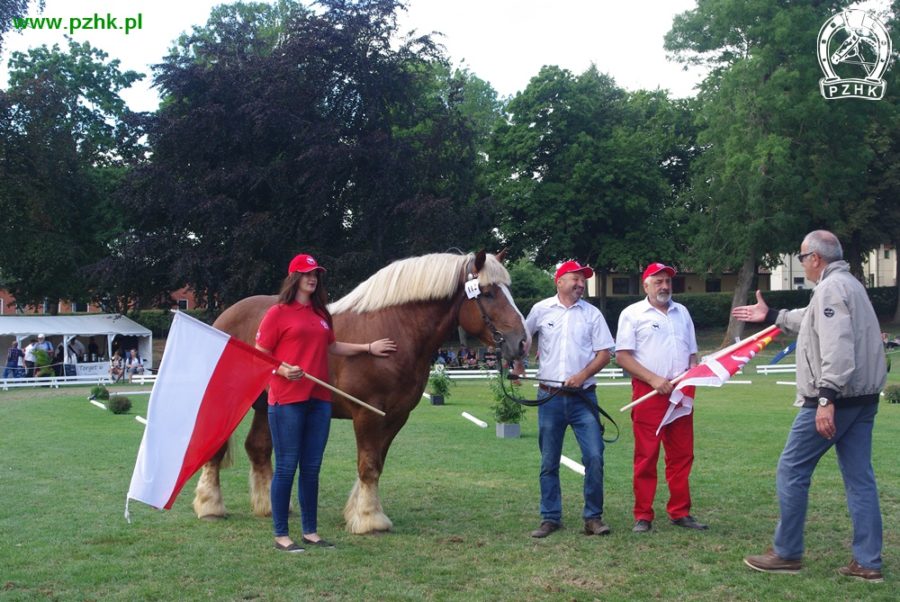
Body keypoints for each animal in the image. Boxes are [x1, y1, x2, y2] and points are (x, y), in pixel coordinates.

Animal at [190, 251, 528, 532]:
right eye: (488, 293)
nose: (522, 342)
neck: (393, 330)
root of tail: (223, 319)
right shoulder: (367, 414)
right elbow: (368, 465)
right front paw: (369, 519)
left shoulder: (395, 417)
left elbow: (376, 463)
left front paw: (358, 512)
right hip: (227, 400)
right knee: (215, 448)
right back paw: (210, 506)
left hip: (265, 406)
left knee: (258, 448)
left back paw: (270, 507)